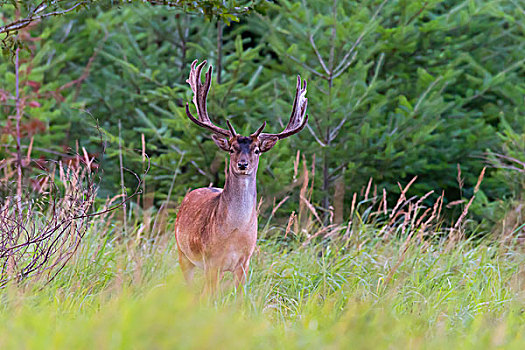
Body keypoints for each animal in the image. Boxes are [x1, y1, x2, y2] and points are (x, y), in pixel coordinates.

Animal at [176, 60, 308, 292]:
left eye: (256, 150)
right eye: (231, 149)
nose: (242, 164)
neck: (234, 234)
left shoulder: (245, 262)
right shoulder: (211, 261)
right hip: (183, 253)